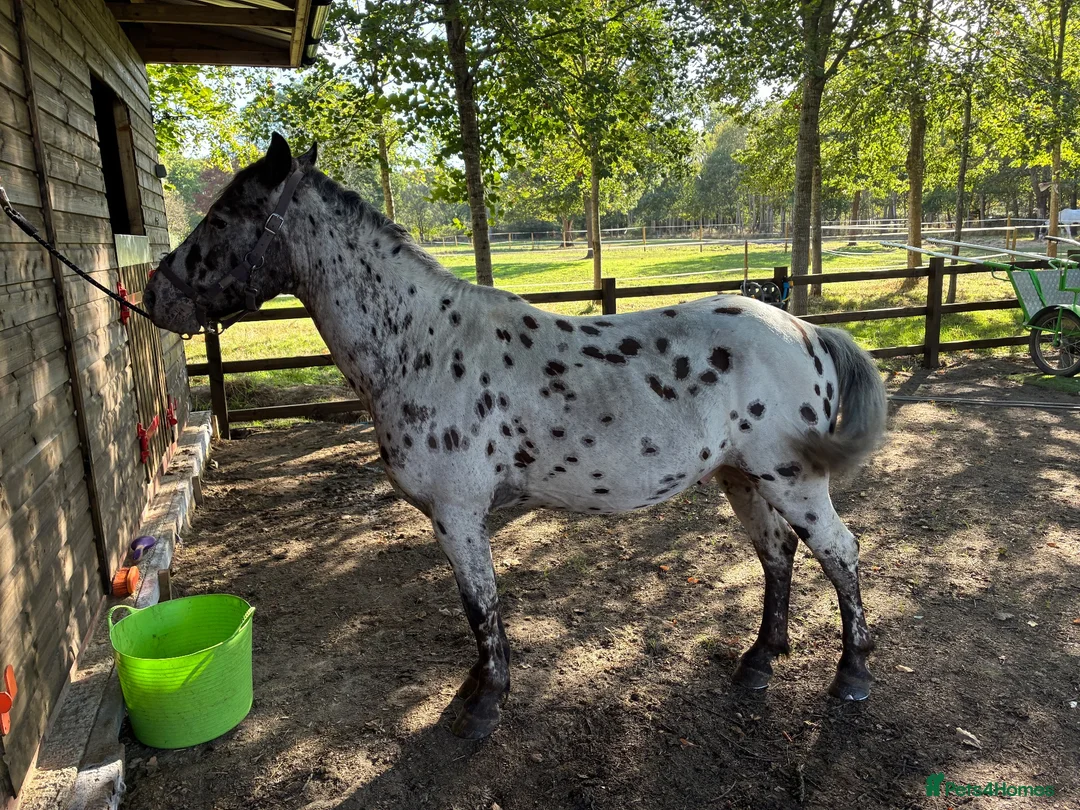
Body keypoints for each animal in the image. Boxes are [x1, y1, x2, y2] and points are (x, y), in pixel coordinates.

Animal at [145, 134, 888, 739]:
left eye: (222, 216)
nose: (154, 294)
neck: (421, 344)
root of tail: (805, 330)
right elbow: (479, 611)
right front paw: (476, 690)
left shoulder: (457, 516)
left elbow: (481, 609)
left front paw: (484, 705)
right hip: (743, 478)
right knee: (778, 555)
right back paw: (761, 660)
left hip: (792, 480)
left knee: (840, 553)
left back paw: (852, 675)